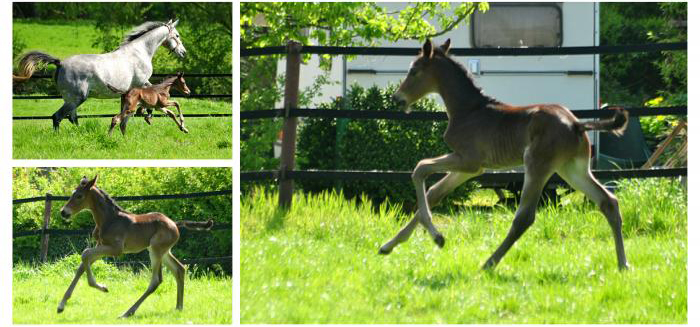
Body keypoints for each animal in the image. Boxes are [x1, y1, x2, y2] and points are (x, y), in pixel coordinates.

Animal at [14, 18, 189, 129]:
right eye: (177, 35)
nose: (183, 52)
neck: (140, 51)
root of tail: (60, 63)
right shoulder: (141, 82)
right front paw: (149, 116)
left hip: (70, 99)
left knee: (71, 117)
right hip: (77, 98)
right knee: (58, 117)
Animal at [56, 177, 213, 318]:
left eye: (79, 196)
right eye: (72, 193)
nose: (64, 212)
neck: (109, 219)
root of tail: (174, 224)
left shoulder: (116, 249)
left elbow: (85, 253)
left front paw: (102, 287)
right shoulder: (101, 245)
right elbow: (82, 265)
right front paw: (61, 305)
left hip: (156, 250)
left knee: (156, 280)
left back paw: (127, 312)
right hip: (163, 251)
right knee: (179, 269)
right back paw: (179, 307)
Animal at [380, 39, 632, 272]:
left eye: (414, 70)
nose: (397, 98)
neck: (468, 110)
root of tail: (576, 124)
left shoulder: (468, 161)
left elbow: (420, 168)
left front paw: (437, 237)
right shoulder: (471, 168)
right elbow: (434, 192)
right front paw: (389, 245)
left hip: (537, 165)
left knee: (525, 217)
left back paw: (488, 263)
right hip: (572, 169)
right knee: (608, 201)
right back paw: (623, 264)